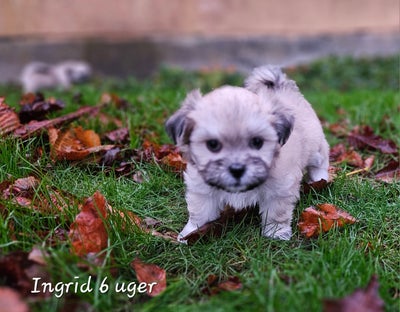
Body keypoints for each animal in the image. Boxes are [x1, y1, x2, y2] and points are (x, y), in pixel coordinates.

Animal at [165, 65, 328, 241]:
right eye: (213, 144)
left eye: (257, 142)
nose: (237, 169)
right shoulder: (202, 187)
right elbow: (201, 212)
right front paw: (191, 233)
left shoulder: (280, 187)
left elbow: (277, 212)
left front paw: (276, 233)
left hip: (315, 146)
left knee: (321, 160)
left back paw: (320, 179)